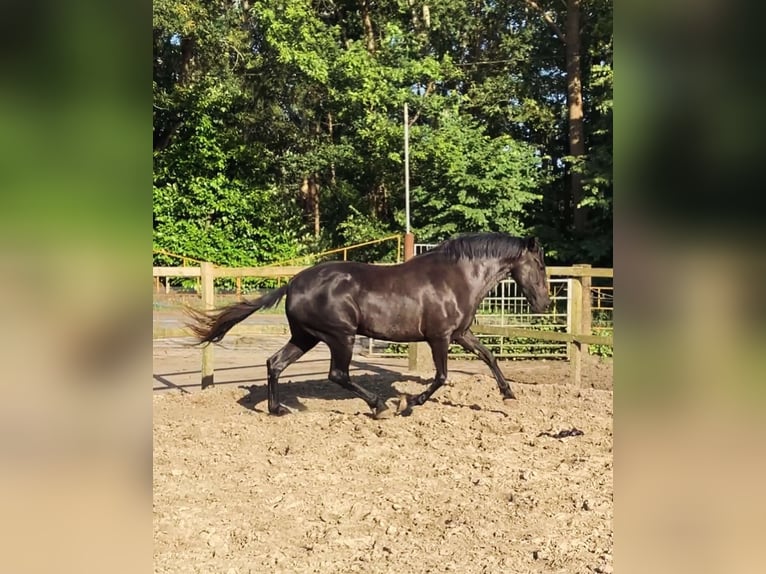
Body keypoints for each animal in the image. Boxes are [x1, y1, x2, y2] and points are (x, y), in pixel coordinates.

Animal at [191, 233, 552, 418]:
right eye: (539, 264)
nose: (544, 304)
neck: (457, 278)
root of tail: (292, 283)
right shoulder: (439, 337)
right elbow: (441, 377)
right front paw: (408, 404)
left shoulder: (461, 333)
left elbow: (489, 356)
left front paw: (508, 393)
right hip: (340, 336)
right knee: (337, 374)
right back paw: (378, 406)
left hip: (306, 337)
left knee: (275, 363)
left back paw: (278, 409)